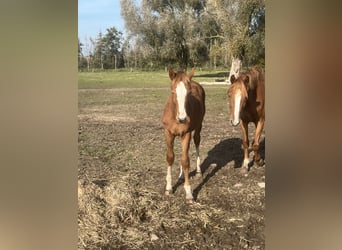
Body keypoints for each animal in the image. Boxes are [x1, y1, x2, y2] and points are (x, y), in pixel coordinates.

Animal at [162, 68, 204, 203]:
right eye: (172, 91)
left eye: (189, 93)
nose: (182, 119)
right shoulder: (168, 133)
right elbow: (170, 157)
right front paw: (169, 188)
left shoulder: (186, 134)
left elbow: (185, 161)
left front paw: (189, 193)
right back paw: (180, 176)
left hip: (198, 127)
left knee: (196, 141)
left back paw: (198, 171)